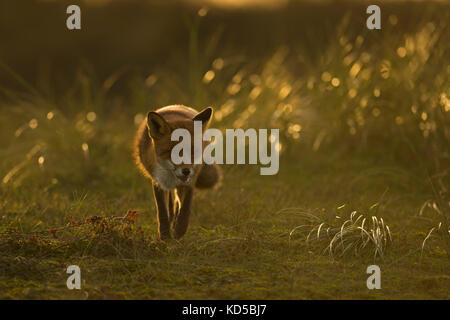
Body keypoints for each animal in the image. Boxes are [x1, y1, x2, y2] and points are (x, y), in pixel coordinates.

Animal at [133, 105, 221, 240]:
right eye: (173, 151)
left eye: (193, 151)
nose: (186, 171)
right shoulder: (158, 182)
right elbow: (162, 211)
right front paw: (165, 236)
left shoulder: (190, 182)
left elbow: (185, 208)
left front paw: (179, 230)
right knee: (170, 202)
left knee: (176, 201)